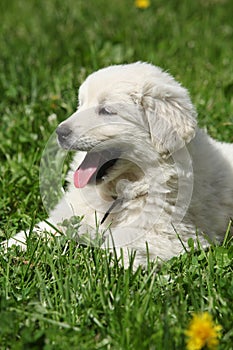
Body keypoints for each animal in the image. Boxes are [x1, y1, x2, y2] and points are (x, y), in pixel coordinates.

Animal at [5, 62, 233, 266]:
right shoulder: (75, 213)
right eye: (81, 104)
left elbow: (125, 244)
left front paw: (107, 265)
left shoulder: (170, 231)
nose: (60, 133)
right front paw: (11, 245)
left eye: (106, 111)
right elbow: (46, 227)